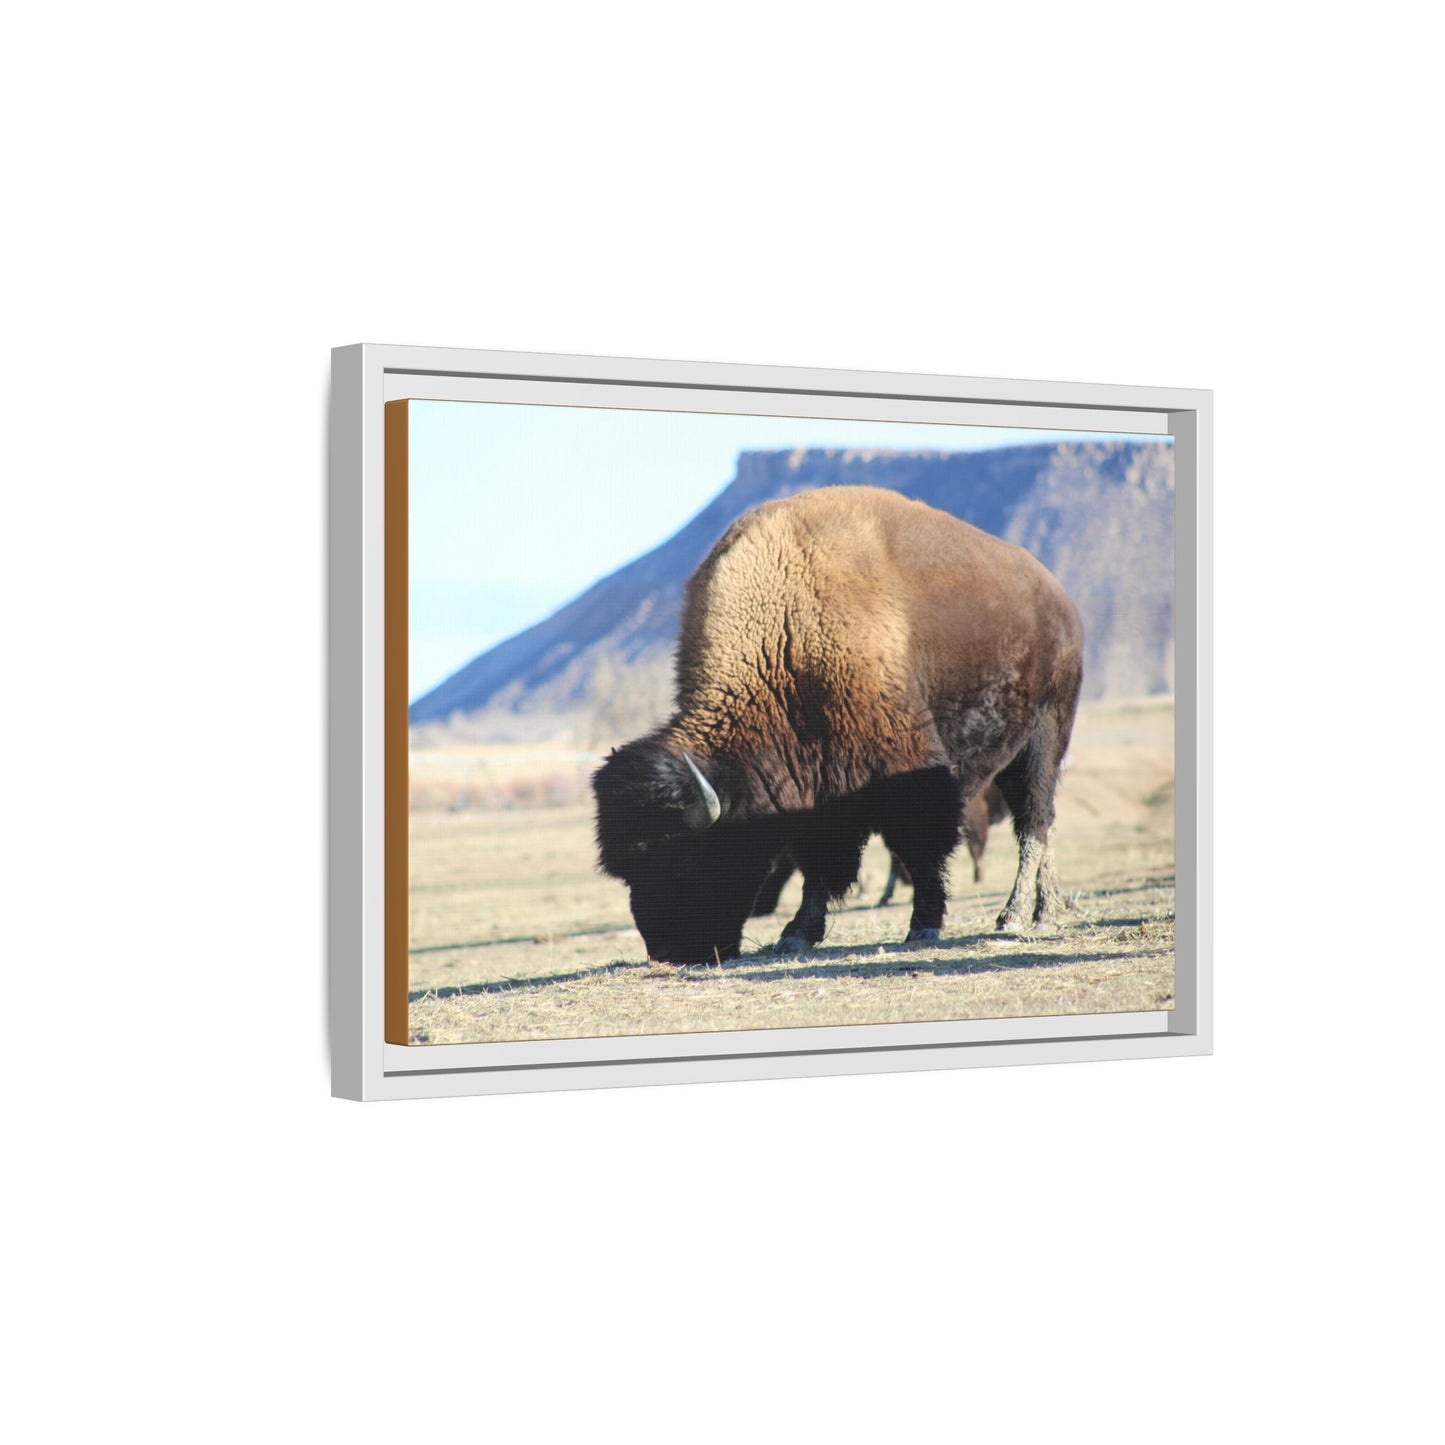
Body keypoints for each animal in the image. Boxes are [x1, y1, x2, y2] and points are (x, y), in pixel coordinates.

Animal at [592, 486, 1083, 963]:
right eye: (627, 870)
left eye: (682, 858)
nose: (667, 953)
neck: (785, 634)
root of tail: (1059, 600)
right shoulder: (816, 789)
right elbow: (820, 863)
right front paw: (796, 935)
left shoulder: (905, 769)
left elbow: (920, 847)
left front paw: (923, 925)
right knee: (1042, 822)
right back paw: (1046, 910)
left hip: (1044, 737)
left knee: (1034, 821)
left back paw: (1019, 916)